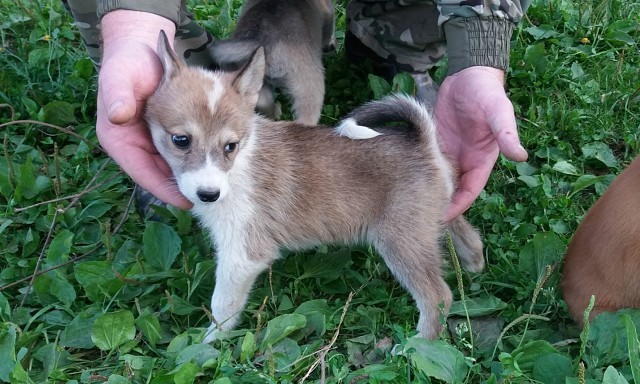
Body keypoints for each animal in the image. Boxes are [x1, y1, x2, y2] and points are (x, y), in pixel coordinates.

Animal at [146, 31, 484, 344]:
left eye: (230, 146)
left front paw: (210, 343)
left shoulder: (243, 255)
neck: (240, 162)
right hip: (432, 219)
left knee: (437, 296)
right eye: (181, 140)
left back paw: (416, 348)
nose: (209, 195)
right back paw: (473, 266)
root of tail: (423, 141)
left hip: (401, 241)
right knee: (469, 236)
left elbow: (222, 306)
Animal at [208, 0, 336, 124]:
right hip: (308, 88)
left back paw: (274, 113)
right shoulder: (327, 10)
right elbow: (329, 24)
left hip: (251, 80)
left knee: (263, 104)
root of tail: (260, 38)